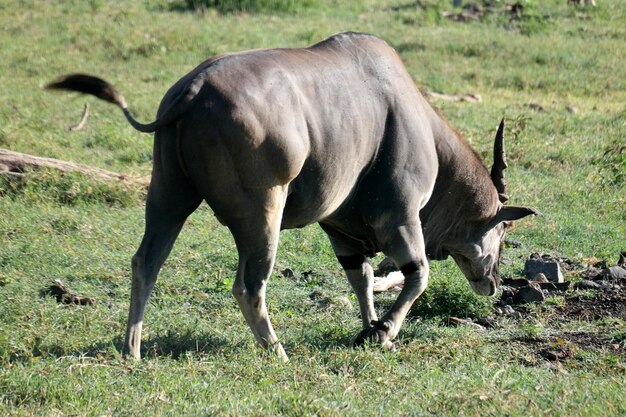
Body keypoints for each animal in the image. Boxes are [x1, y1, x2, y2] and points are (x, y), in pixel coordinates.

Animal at [47, 31, 536, 360]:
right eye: (503, 231)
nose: (492, 283)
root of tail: (191, 90)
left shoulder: (342, 233)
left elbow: (361, 280)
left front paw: (368, 330)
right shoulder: (399, 218)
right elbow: (418, 275)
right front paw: (383, 332)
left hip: (168, 200)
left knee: (145, 263)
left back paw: (132, 351)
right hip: (263, 215)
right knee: (248, 285)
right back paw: (277, 353)